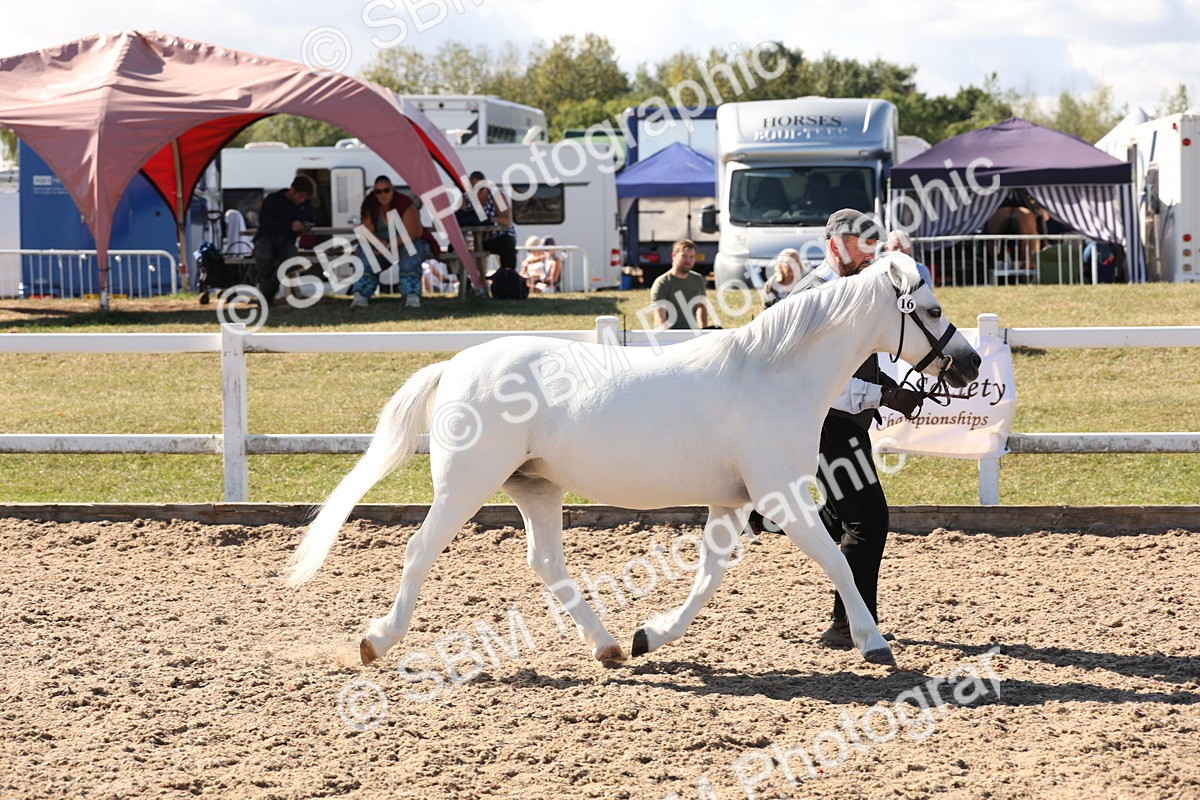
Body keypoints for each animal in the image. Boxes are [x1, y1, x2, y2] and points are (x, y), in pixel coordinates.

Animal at [286, 253, 981, 668]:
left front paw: (652, 634)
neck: (772, 375)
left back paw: (610, 647)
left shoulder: (732, 503)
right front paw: (874, 643)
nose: (970, 363)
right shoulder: (781, 495)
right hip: (467, 484)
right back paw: (376, 641)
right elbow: (835, 558)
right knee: (419, 550)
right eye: (933, 309)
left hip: (534, 487)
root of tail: (456, 365)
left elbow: (707, 577)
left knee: (546, 562)